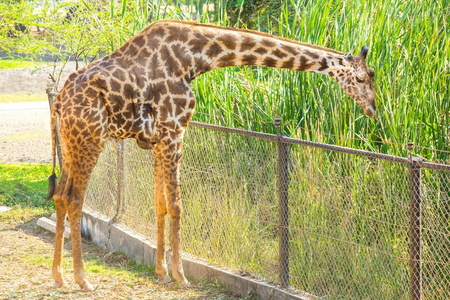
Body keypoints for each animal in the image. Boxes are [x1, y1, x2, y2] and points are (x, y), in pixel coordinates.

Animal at [45, 19, 376, 290]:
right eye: (362, 79)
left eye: (372, 75)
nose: (373, 109)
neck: (195, 58)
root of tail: (59, 101)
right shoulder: (175, 131)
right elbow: (177, 205)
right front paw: (181, 276)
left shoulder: (157, 139)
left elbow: (160, 204)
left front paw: (161, 273)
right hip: (90, 139)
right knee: (74, 198)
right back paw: (82, 279)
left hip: (71, 142)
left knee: (59, 194)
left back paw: (59, 277)